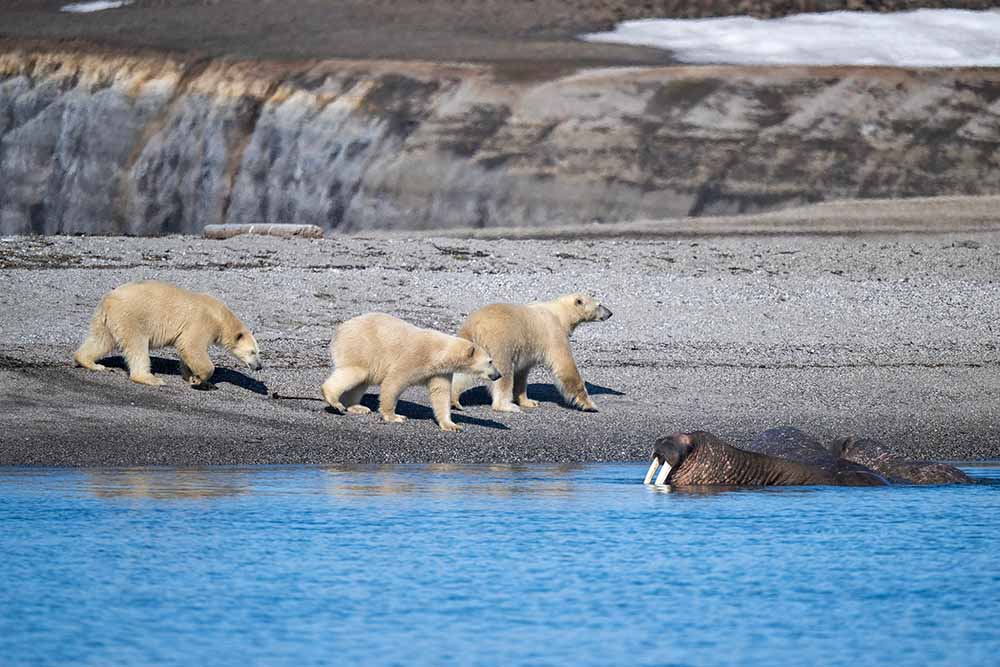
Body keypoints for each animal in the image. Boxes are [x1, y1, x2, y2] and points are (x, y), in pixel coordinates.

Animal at [73, 280, 262, 386]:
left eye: (259, 352)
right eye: (252, 352)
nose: (259, 366)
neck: (220, 316)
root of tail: (108, 300)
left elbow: (185, 351)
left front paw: (194, 378)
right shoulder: (201, 322)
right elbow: (192, 347)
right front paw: (200, 379)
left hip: (106, 320)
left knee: (100, 340)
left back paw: (91, 363)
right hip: (131, 318)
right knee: (137, 347)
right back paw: (150, 378)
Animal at [322, 314, 500, 434]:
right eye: (490, 361)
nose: (498, 375)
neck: (439, 351)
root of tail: (340, 328)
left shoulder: (441, 371)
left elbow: (440, 394)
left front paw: (452, 425)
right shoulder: (415, 357)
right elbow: (394, 381)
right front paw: (395, 416)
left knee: (361, 381)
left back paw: (357, 407)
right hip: (361, 346)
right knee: (356, 372)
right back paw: (335, 401)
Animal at [452, 294, 608, 412]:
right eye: (599, 304)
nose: (610, 313)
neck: (559, 313)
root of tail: (474, 326)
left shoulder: (527, 349)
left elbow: (522, 374)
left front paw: (529, 401)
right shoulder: (553, 333)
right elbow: (565, 366)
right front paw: (590, 405)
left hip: (470, 345)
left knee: (461, 372)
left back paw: (454, 401)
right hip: (499, 344)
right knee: (504, 374)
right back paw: (507, 406)